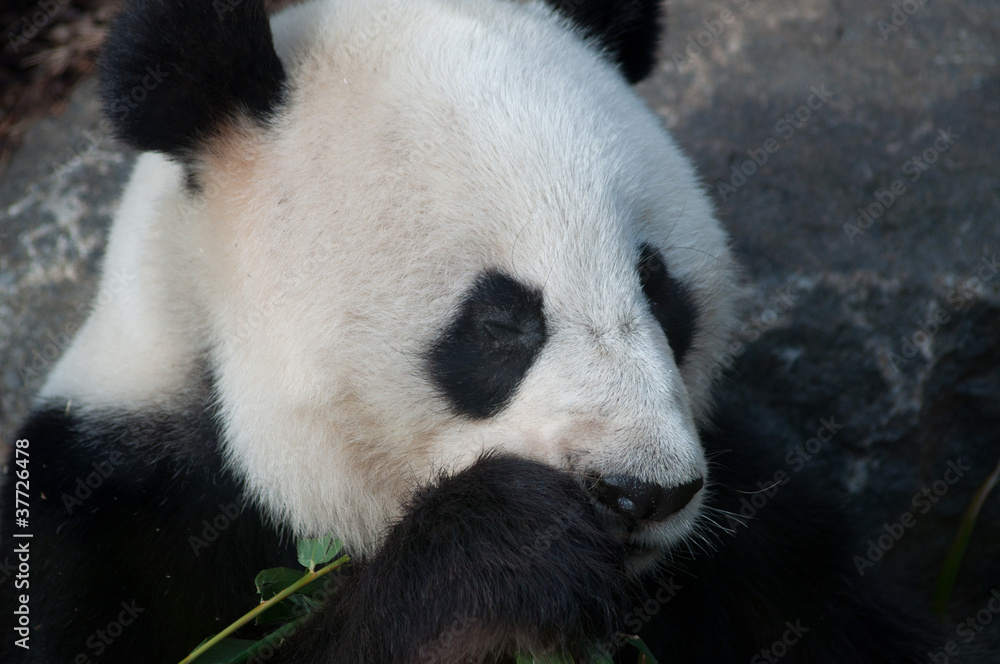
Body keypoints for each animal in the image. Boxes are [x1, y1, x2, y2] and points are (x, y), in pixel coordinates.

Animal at [2, 0, 947, 662]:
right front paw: (502, 560)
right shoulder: (100, 525)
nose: (641, 492)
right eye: (500, 320)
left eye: (659, 288)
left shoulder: (758, 525)